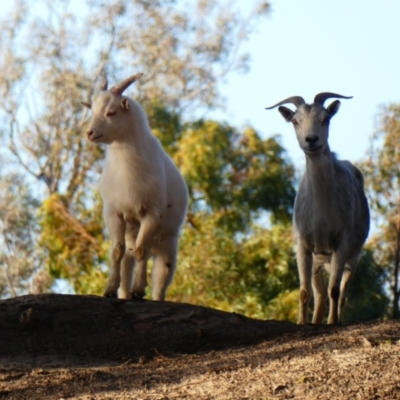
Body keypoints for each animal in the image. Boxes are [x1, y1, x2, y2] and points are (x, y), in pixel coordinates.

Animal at [82, 74, 188, 300]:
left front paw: (139, 290)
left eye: (111, 112)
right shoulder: (114, 213)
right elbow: (117, 251)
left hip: (167, 241)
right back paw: (124, 293)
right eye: (92, 110)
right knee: (128, 259)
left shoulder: (152, 214)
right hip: (133, 231)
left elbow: (142, 251)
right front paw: (109, 290)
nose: (89, 133)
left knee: (160, 276)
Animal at [268, 94, 370, 324]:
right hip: (319, 260)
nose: (311, 140)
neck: (322, 218)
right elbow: (305, 292)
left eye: (325, 118)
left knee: (341, 294)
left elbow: (335, 290)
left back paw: (337, 320)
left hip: (353, 257)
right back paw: (315, 321)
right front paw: (301, 323)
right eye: (295, 121)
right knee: (320, 294)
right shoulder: (304, 245)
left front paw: (332, 323)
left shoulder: (341, 243)